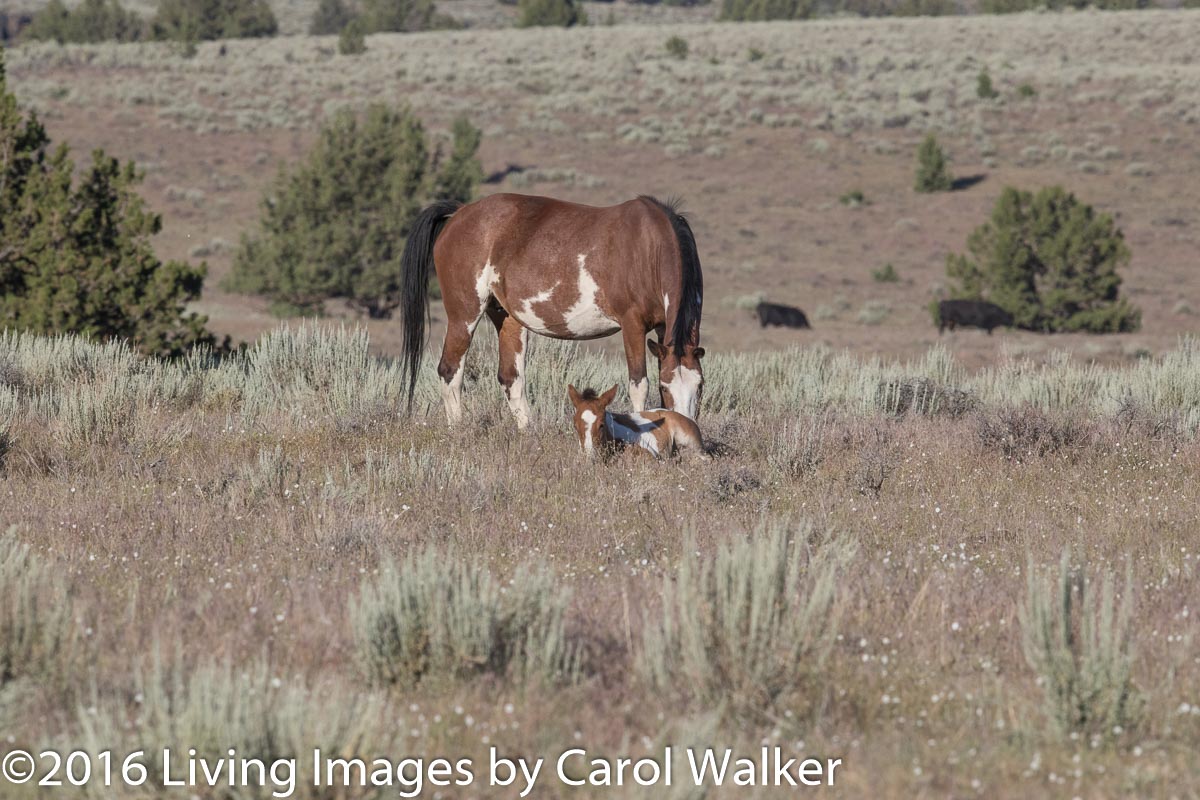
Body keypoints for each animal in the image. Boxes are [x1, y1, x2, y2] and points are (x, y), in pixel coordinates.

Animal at [398, 193, 705, 429]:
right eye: (664, 387)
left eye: (700, 386)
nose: (687, 425)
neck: (648, 249)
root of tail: (460, 212)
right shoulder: (633, 325)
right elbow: (639, 384)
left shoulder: (664, 330)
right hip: (464, 314)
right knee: (450, 369)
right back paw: (459, 430)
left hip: (508, 318)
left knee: (511, 377)